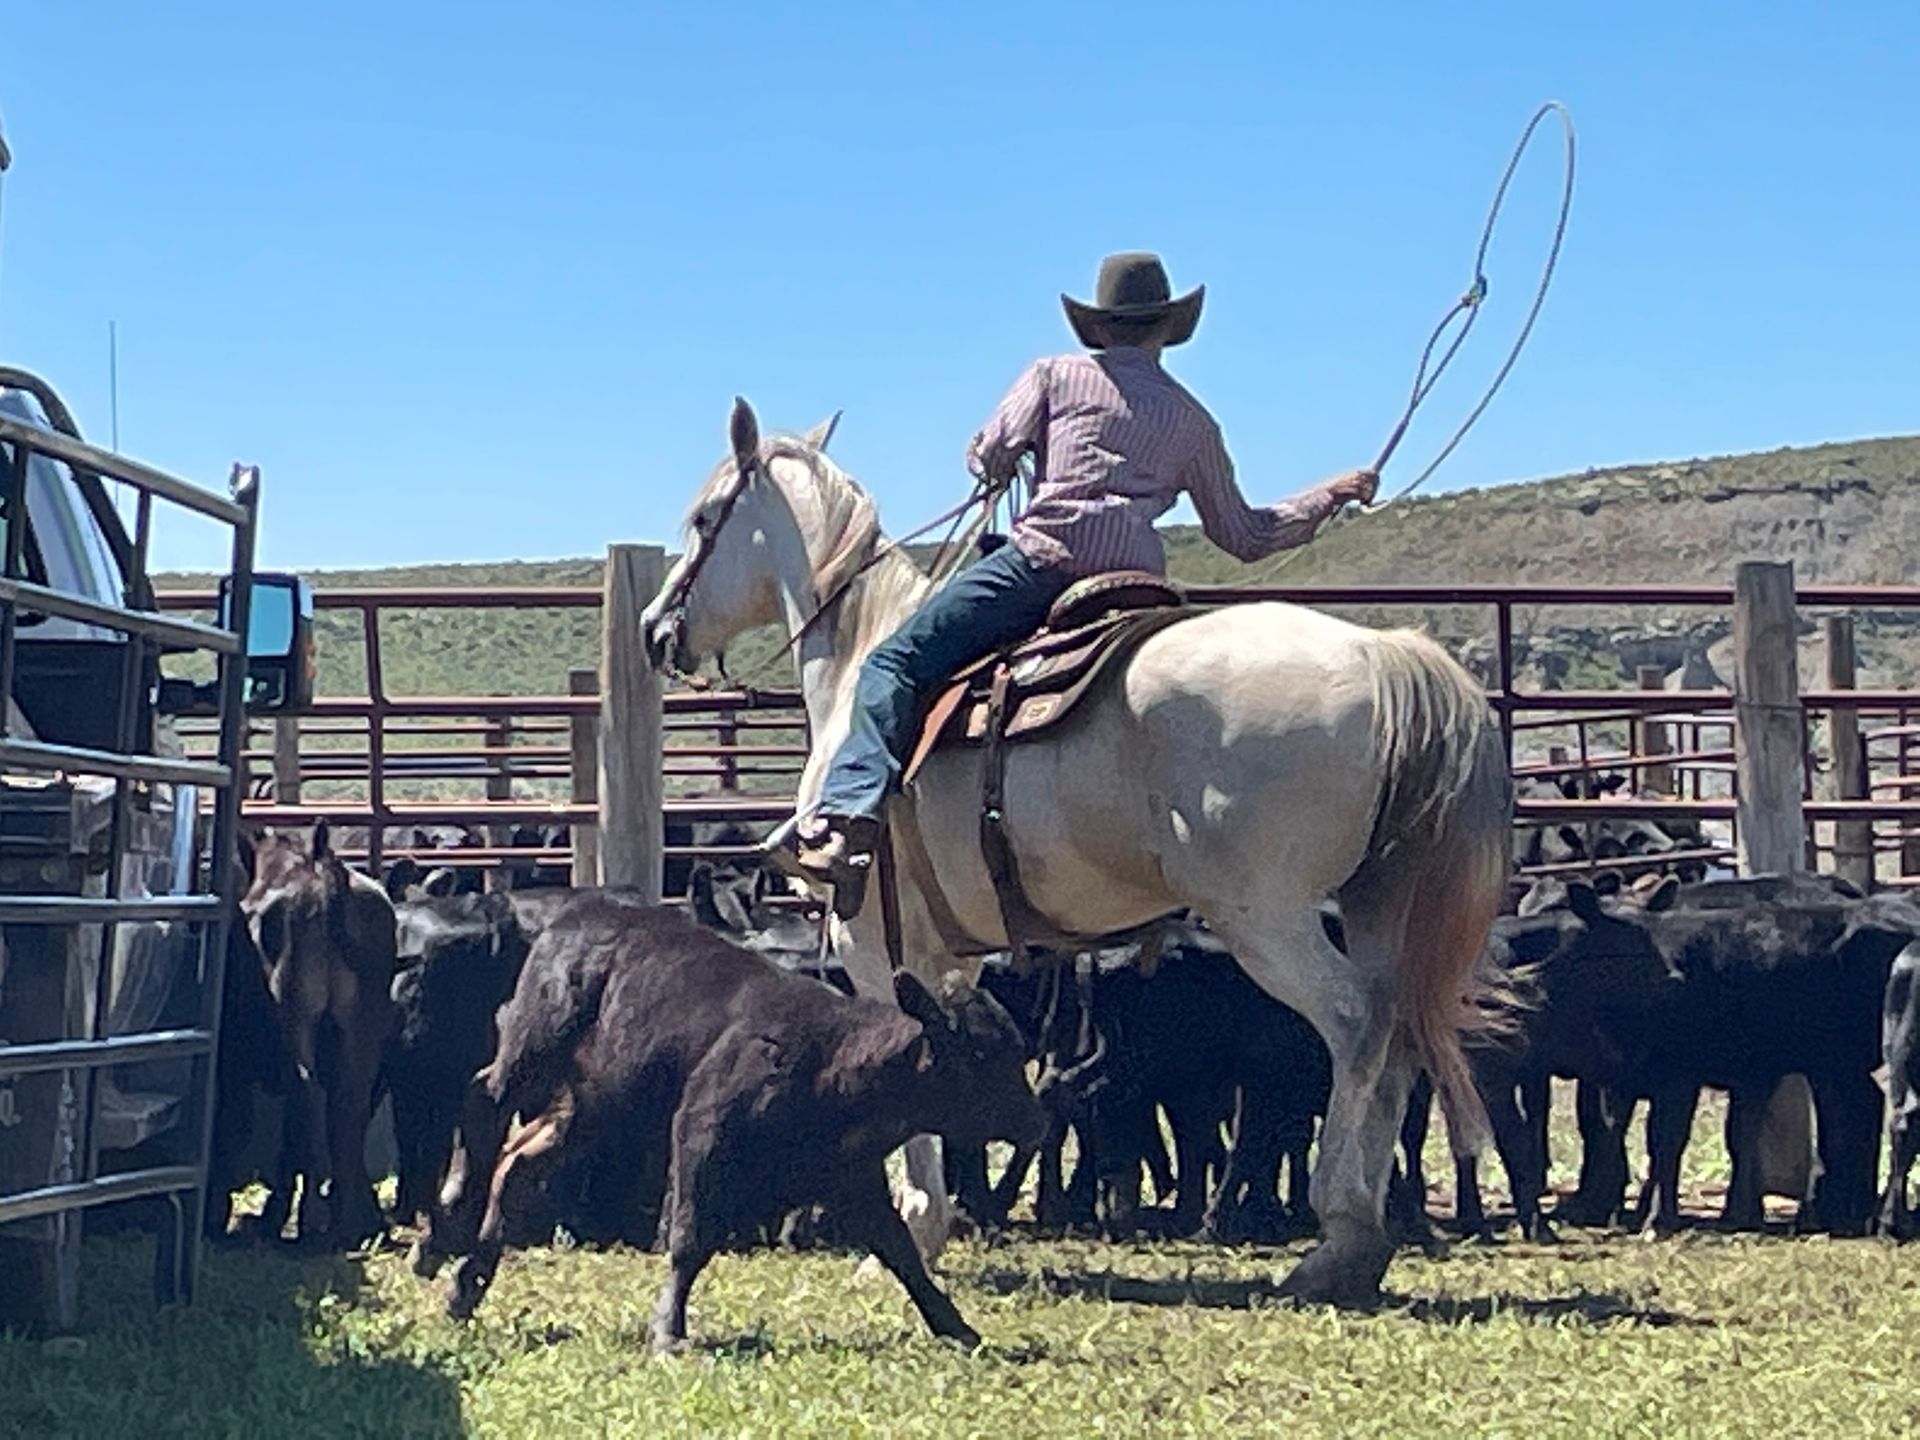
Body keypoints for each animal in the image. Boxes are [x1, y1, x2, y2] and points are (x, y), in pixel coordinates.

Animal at [438, 897, 1045, 1352]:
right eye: (981, 1056)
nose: (1034, 1121)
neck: (836, 1062)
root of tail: (580, 915)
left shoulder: (851, 1177)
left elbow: (901, 1251)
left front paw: (956, 1327)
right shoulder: (700, 1133)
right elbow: (689, 1239)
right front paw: (669, 1332)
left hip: (593, 1105)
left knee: (521, 1165)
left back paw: (467, 1284)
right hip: (536, 1044)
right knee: (483, 1097)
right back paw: (446, 1213)